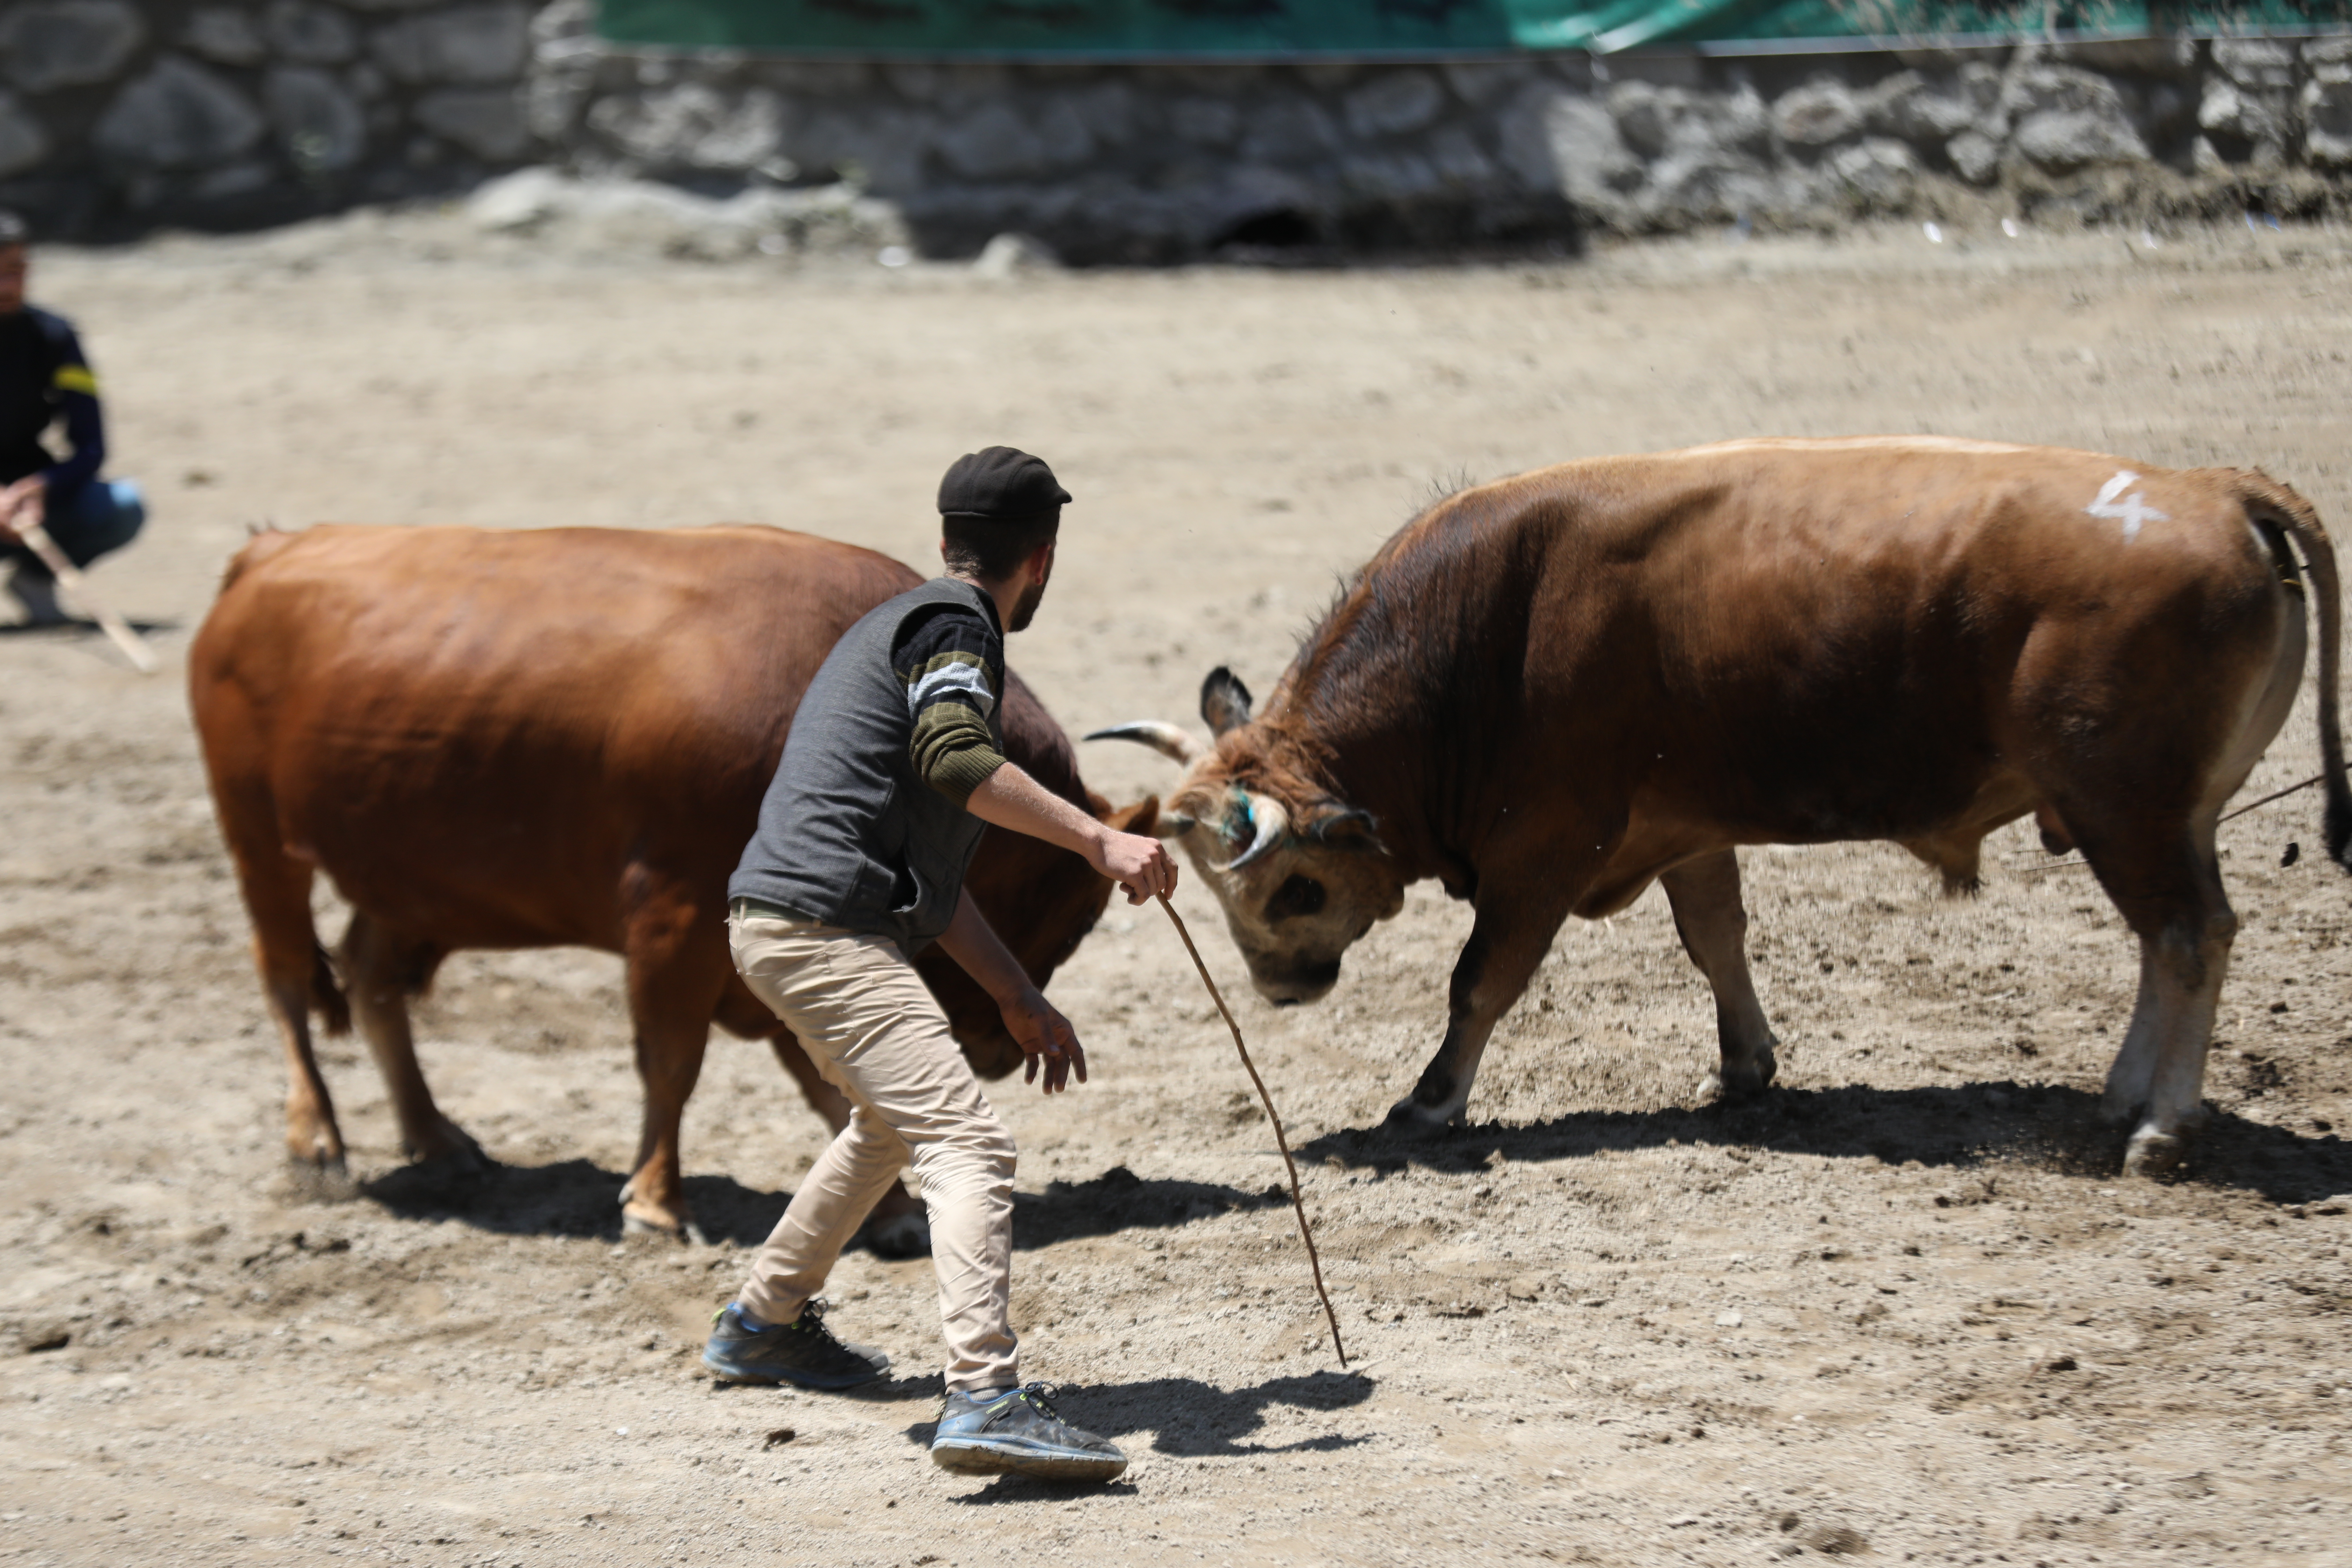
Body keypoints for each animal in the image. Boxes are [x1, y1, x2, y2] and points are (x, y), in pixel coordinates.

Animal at [190, 526, 1148, 1251]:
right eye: (1067, 917)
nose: (996, 1050)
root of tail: (272, 551)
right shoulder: (677, 917)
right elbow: (673, 1062)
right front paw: (655, 1200)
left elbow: (829, 1082)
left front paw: (892, 1213)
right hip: (261, 845)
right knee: (285, 976)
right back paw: (316, 1140)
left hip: (406, 879)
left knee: (372, 977)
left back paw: (437, 1136)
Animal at [1100, 442, 2352, 1175]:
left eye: (1293, 886)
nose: (1281, 988)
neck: (1487, 632)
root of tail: (2219, 492)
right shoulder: (1684, 832)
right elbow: (1717, 942)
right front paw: (1744, 1068)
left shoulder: (1544, 853)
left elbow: (1481, 980)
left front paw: (1430, 1100)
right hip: (2161, 819)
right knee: (2167, 941)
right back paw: (2124, 1096)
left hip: (2128, 812)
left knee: (2187, 936)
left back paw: (2159, 1123)